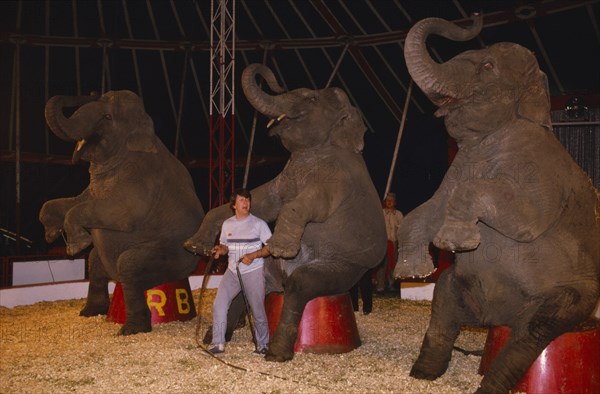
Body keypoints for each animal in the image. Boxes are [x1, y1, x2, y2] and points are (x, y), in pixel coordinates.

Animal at [41, 90, 206, 336]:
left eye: (108, 117)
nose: (86, 94)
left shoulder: (140, 179)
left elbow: (120, 214)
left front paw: (76, 246)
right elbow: (76, 201)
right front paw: (52, 233)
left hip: (173, 258)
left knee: (128, 265)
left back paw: (131, 330)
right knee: (95, 262)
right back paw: (90, 312)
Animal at [185, 64, 386, 364]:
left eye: (311, 99)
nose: (273, 80)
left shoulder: (338, 180)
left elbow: (305, 205)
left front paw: (280, 247)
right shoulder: (286, 176)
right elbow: (265, 200)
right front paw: (196, 246)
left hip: (347, 268)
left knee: (301, 284)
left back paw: (276, 353)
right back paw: (215, 338)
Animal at [394, 13, 600, 392]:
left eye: (488, 66)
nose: (475, 18)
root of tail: (494, 319)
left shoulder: (541, 169)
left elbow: (523, 219)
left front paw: (453, 241)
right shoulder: (457, 166)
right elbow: (429, 208)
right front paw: (413, 270)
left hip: (571, 295)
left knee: (530, 333)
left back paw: (490, 384)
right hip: (460, 288)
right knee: (443, 303)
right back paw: (422, 375)